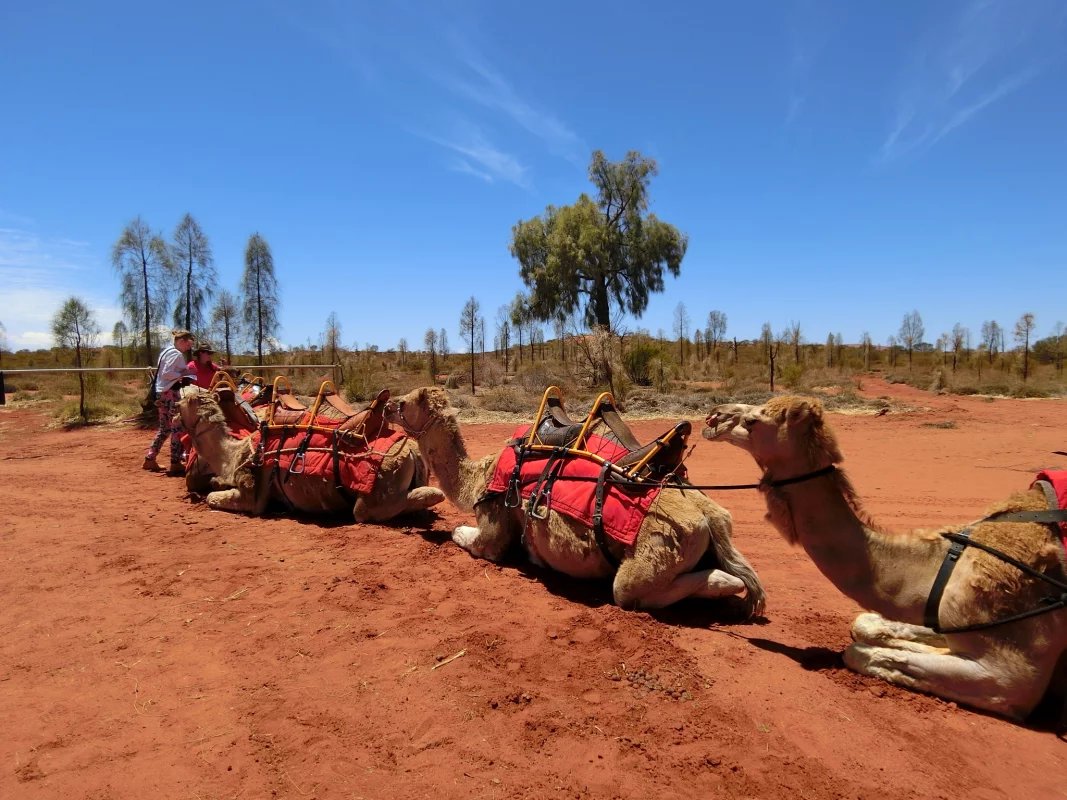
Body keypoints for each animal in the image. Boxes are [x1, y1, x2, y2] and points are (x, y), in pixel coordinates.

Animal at [177, 388, 443, 526]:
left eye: (184, 399)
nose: (181, 386)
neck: (232, 454)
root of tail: (411, 451)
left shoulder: (252, 496)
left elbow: (213, 498)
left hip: (377, 491)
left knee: (372, 509)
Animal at [388, 386, 763, 614]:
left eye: (405, 403)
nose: (388, 402)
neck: (479, 476)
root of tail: (707, 516)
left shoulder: (494, 524)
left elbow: (468, 538)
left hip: (649, 561)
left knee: (633, 590)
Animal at [699, 398, 1067, 725]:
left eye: (755, 420)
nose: (713, 416)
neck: (942, 567)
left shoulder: (1012, 678)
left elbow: (858, 652)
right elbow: (867, 624)